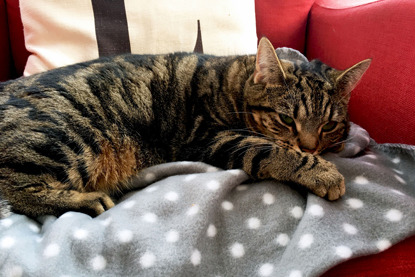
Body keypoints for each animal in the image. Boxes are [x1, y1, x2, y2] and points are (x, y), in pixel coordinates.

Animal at [0, 37, 370, 218]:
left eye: (329, 125)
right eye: (286, 119)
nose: (309, 146)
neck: (234, 83)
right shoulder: (211, 136)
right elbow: (271, 149)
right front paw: (322, 172)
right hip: (67, 137)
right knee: (16, 191)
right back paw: (86, 201)